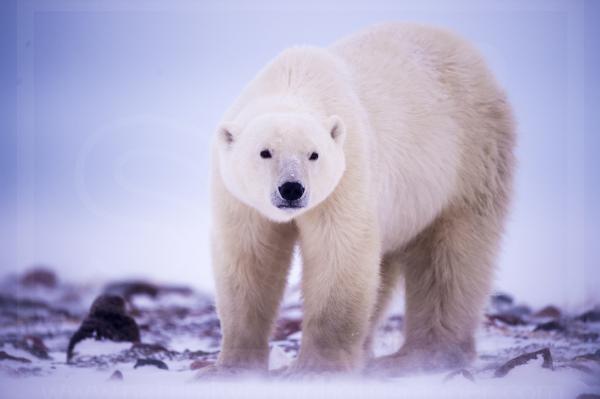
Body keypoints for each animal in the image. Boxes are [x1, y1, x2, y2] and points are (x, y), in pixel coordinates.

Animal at [207, 22, 516, 378]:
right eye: (265, 152)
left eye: (314, 154)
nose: (292, 189)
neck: (293, 79)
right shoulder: (239, 199)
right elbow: (249, 261)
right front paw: (230, 367)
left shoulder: (348, 173)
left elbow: (339, 256)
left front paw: (317, 369)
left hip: (470, 159)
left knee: (451, 258)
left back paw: (419, 356)